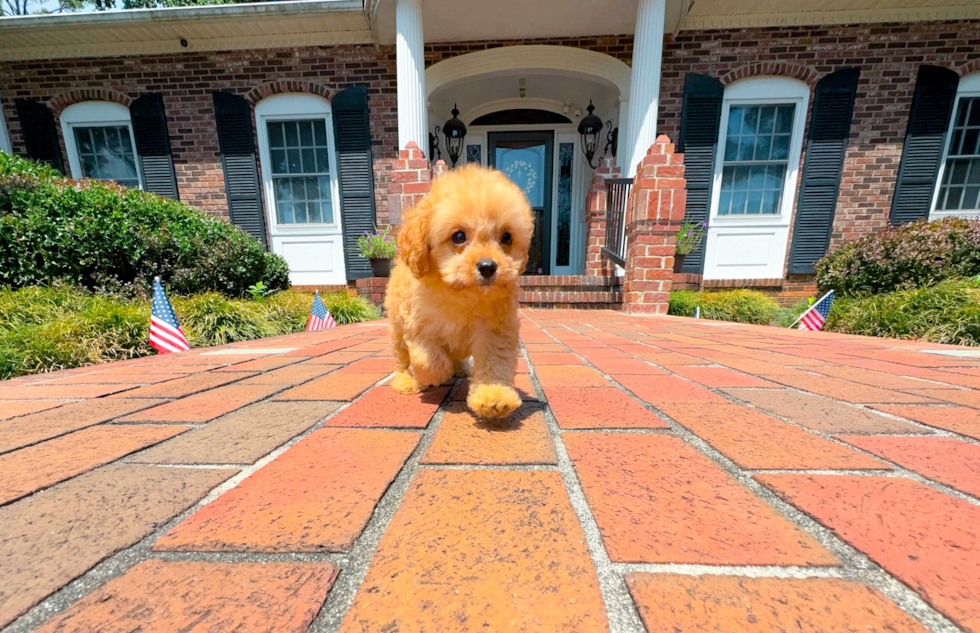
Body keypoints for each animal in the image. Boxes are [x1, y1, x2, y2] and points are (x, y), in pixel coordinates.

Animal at [384, 165, 536, 418]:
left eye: (506, 237)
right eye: (458, 236)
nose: (488, 266)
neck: (462, 293)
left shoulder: (495, 329)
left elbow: (495, 361)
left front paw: (493, 396)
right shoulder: (417, 321)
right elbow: (428, 357)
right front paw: (435, 374)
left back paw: (460, 367)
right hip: (397, 328)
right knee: (401, 358)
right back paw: (407, 380)